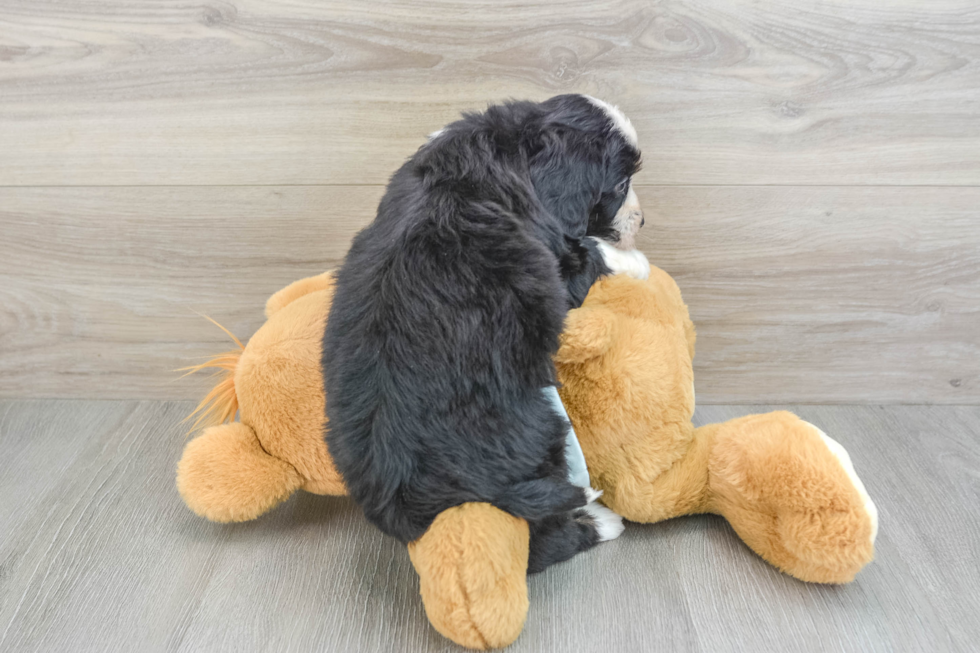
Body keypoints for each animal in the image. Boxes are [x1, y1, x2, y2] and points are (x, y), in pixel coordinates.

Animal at [324, 95, 652, 572]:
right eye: (622, 182)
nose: (642, 222)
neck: (509, 155)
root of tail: (407, 500)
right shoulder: (556, 270)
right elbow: (590, 253)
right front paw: (635, 260)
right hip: (539, 435)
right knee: (543, 541)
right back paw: (600, 521)